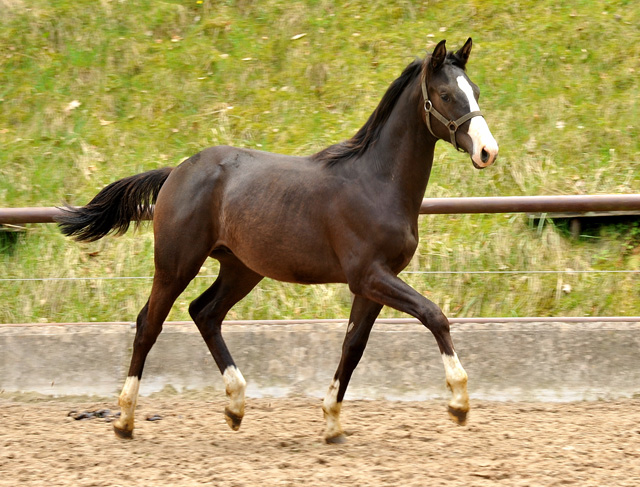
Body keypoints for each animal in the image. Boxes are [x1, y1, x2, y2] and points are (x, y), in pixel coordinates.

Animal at [58, 37, 500, 442]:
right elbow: (433, 314)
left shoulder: (372, 284)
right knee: (149, 324)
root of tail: (176, 171)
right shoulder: (370, 275)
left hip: (241, 269)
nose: (487, 151)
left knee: (205, 313)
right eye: (446, 95)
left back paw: (235, 407)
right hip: (176, 264)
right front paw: (459, 403)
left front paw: (332, 422)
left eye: (476, 92)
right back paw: (124, 420)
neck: (376, 183)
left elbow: (353, 347)